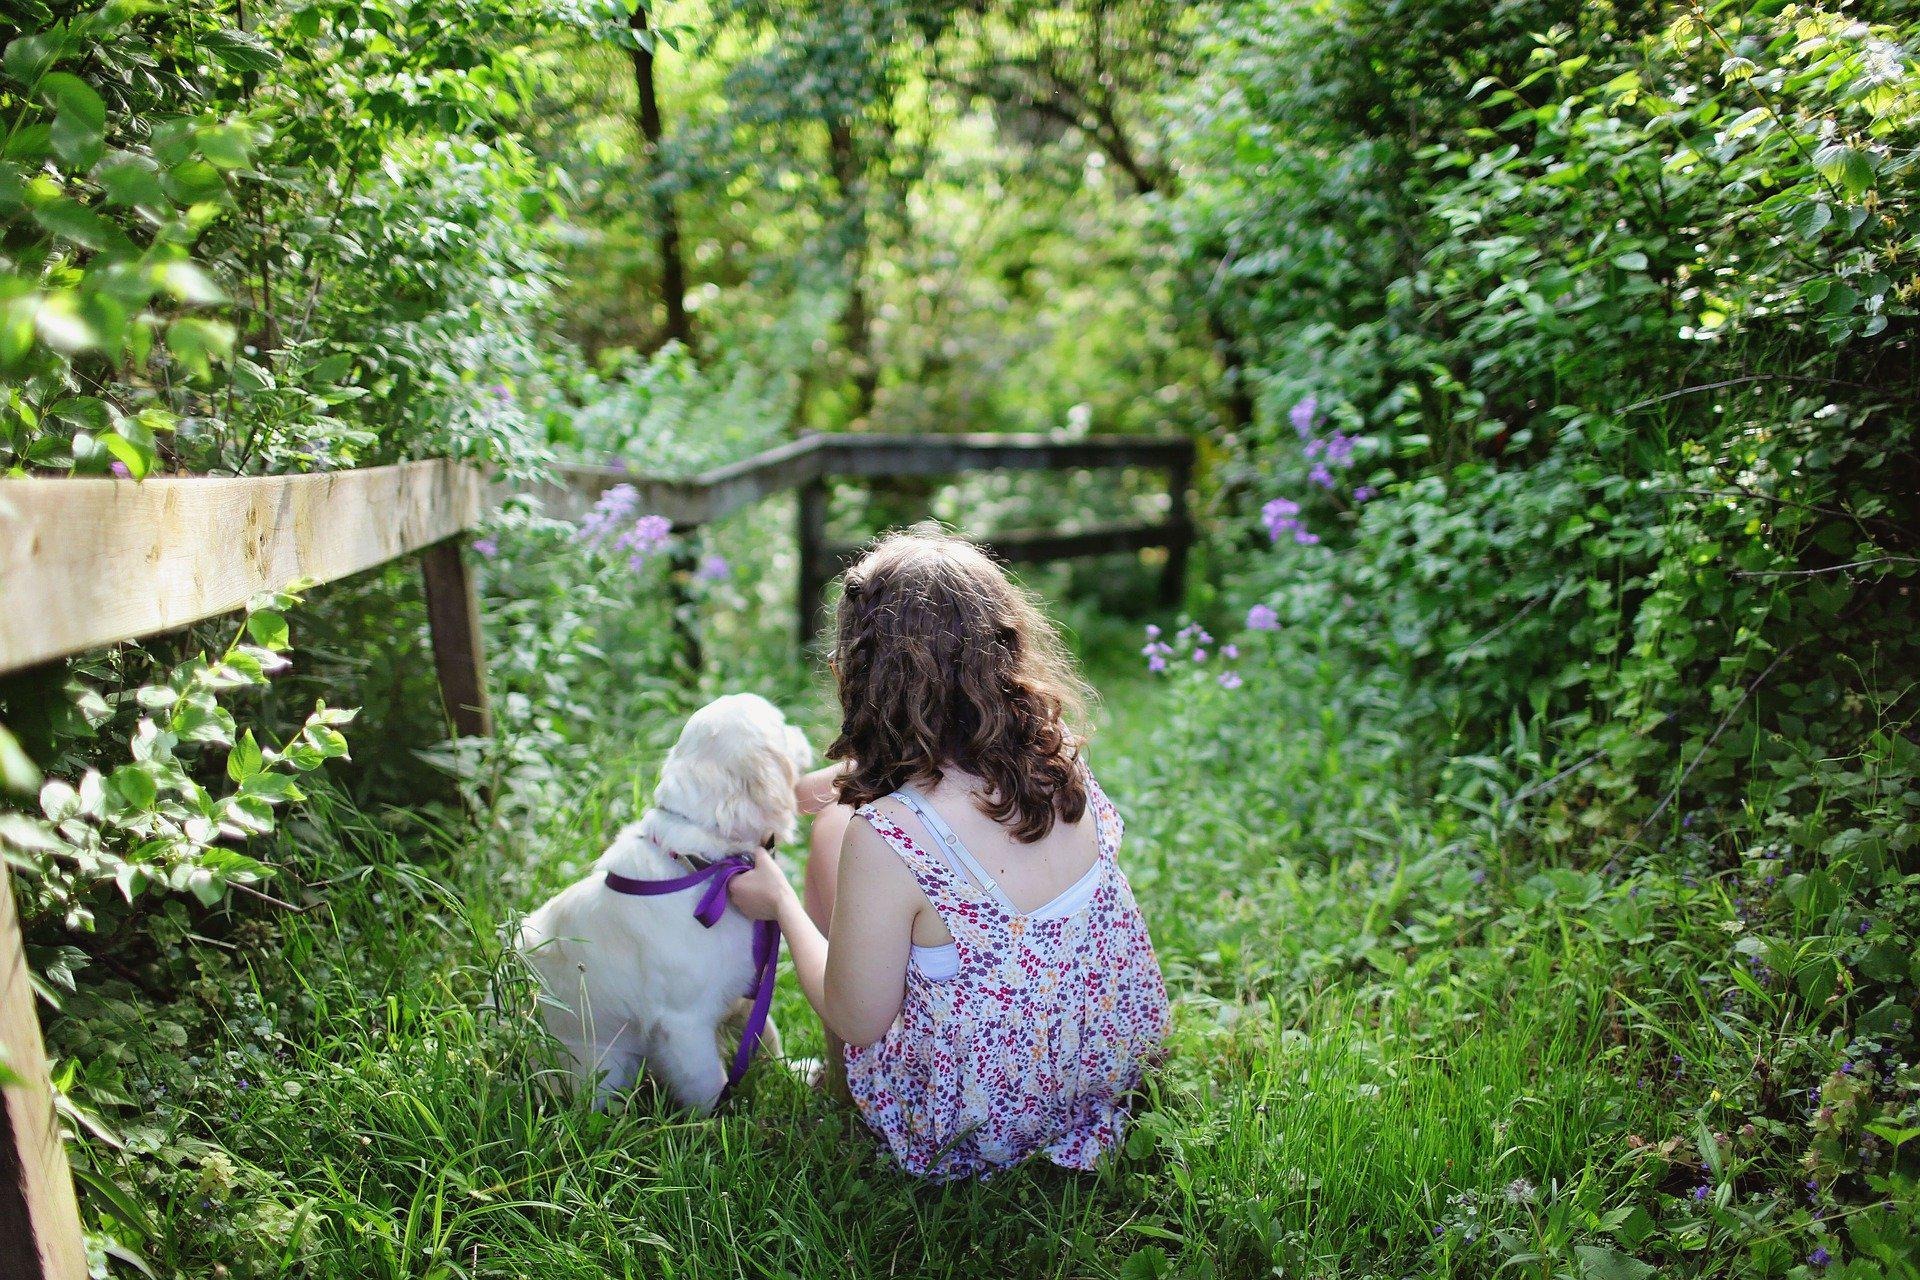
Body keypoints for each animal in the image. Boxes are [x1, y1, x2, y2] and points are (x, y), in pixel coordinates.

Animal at [518, 690, 810, 1113]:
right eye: (781, 724)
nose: (803, 731)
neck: (703, 865)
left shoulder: (744, 989)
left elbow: (765, 1035)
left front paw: (795, 1072)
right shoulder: (685, 1023)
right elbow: (709, 1084)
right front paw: (721, 1122)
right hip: (606, 1067)